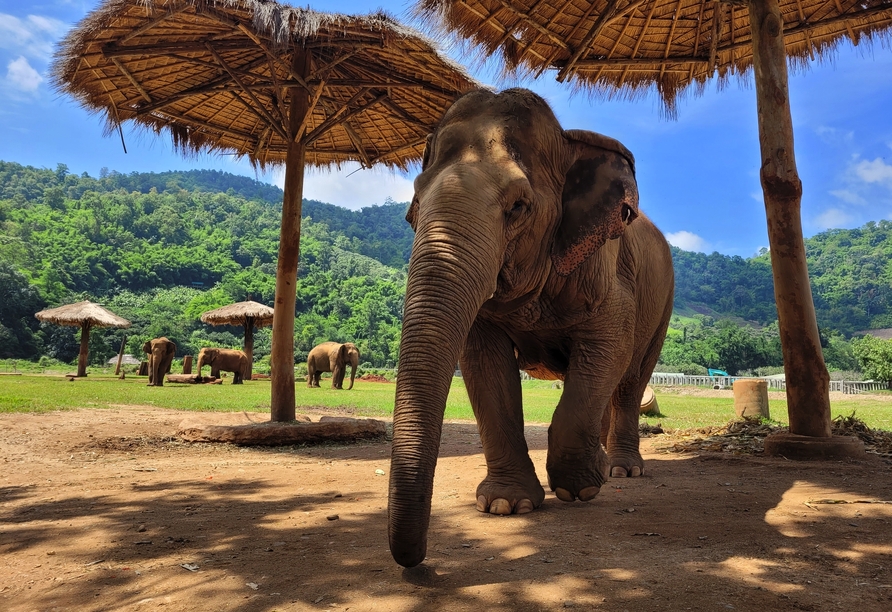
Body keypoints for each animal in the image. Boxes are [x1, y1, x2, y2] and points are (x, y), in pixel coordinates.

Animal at [386, 88, 672, 568]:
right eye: (413, 210)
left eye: (518, 206)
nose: (418, 561)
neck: (569, 141)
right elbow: (483, 363)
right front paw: (506, 505)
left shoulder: (608, 273)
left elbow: (610, 343)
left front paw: (579, 488)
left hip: (664, 302)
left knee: (631, 379)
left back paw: (620, 470)